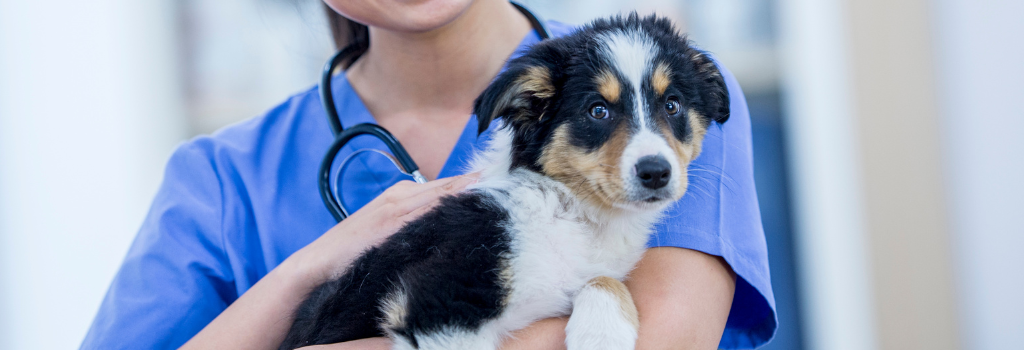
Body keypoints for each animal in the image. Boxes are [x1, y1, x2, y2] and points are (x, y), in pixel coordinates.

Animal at [280, 13, 729, 350]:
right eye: (597, 110)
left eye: (672, 105)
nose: (656, 172)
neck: (571, 210)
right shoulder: (441, 301)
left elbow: (603, 279)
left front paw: (601, 335)